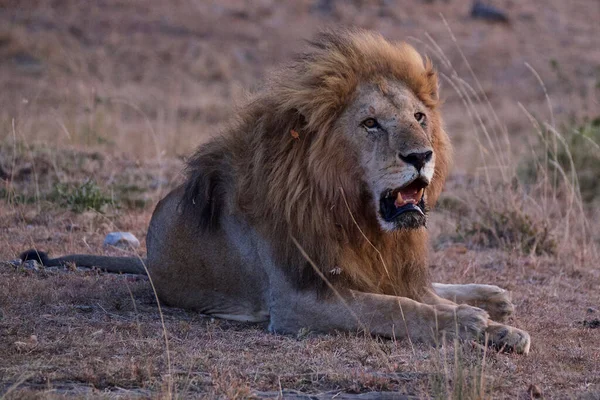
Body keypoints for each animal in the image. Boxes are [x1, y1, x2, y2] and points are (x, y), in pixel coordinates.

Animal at [21, 30, 528, 354]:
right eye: (370, 123)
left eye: (420, 117)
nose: (421, 155)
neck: (357, 218)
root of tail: (146, 256)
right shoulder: (297, 301)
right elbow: (393, 307)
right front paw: (469, 323)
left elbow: (415, 295)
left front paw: (498, 328)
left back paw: (493, 297)